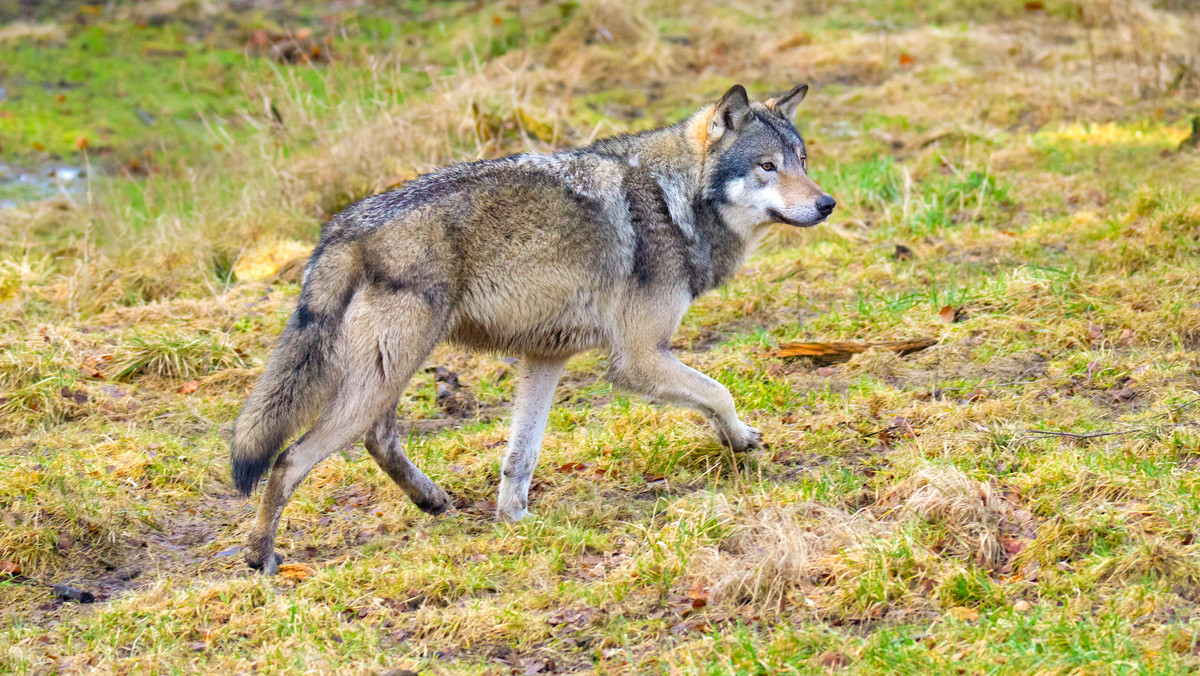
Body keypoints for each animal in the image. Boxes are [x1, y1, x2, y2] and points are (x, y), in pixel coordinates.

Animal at [231, 82, 835, 573]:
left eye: (802, 160)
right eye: (767, 167)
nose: (828, 203)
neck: (674, 201)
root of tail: (341, 228)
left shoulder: (546, 357)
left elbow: (519, 456)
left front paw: (514, 521)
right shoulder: (638, 359)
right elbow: (719, 393)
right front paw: (741, 439)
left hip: (387, 373)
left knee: (378, 439)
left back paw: (432, 500)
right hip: (386, 372)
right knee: (290, 459)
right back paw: (261, 556)